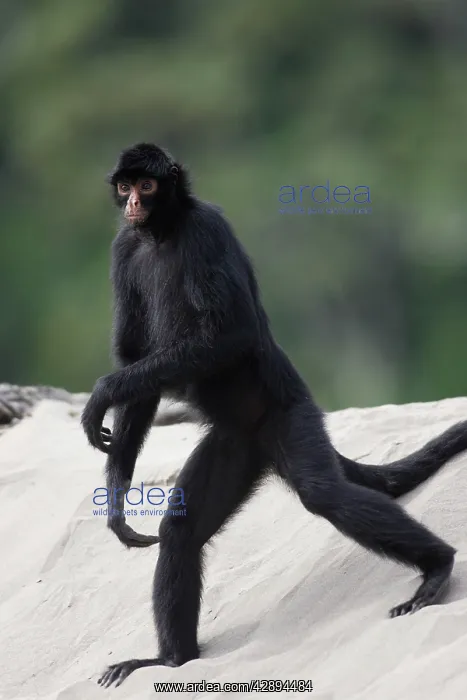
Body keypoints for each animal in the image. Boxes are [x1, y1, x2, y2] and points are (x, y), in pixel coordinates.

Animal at [80, 143, 467, 688]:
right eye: (125, 187)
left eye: (147, 186)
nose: (134, 202)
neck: (161, 235)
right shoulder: (125, 247)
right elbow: (137, 358)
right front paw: (116, 504)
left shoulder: (206, 230)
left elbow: (231, 333)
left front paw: (103, 393)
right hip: (236, 443)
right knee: (180, 531)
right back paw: (171, 660)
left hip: (290, 416)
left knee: (323, 493)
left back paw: (438, 566)